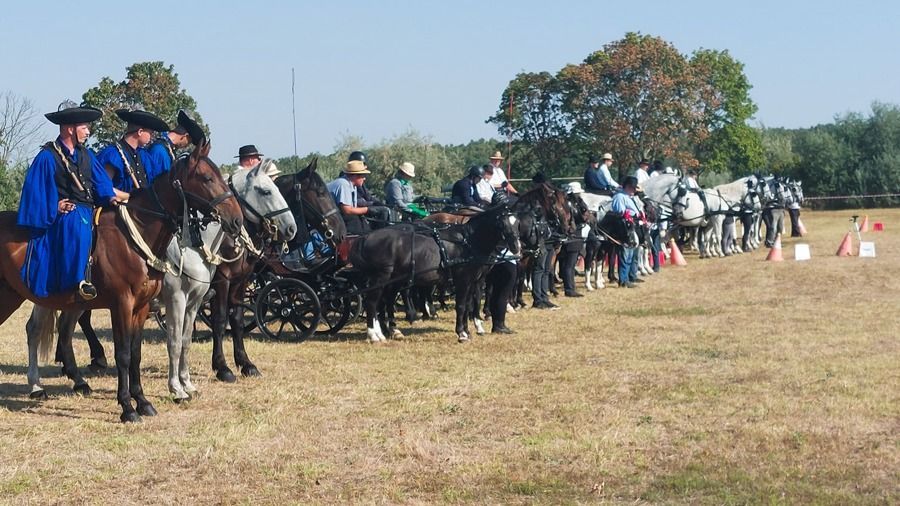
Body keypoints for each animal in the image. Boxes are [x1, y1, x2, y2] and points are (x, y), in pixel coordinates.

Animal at [4, 140, 243, 422]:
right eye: (207, 178)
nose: (236, 220)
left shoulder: (149, 306)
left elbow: (145, 351)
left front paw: (146, 401)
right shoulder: (131, 303)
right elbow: (130, 353)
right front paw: (133, 405)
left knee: (61, 330)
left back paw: (75, 381)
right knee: (35, 330)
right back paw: (37, 386)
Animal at [352, 204, 520, 342]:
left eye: (517, 223)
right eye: (501, 223)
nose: (516, 247)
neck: (468, 243)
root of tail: (366, 237)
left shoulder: (473, 281)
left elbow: (468, 305)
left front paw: (468, 331)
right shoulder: (463, 281)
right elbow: (461, 306)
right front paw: (461, 333)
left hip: (393, 280)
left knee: (384, 301)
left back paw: (388, 331)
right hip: (380, 278)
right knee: (372, 302)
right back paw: (374, 335)